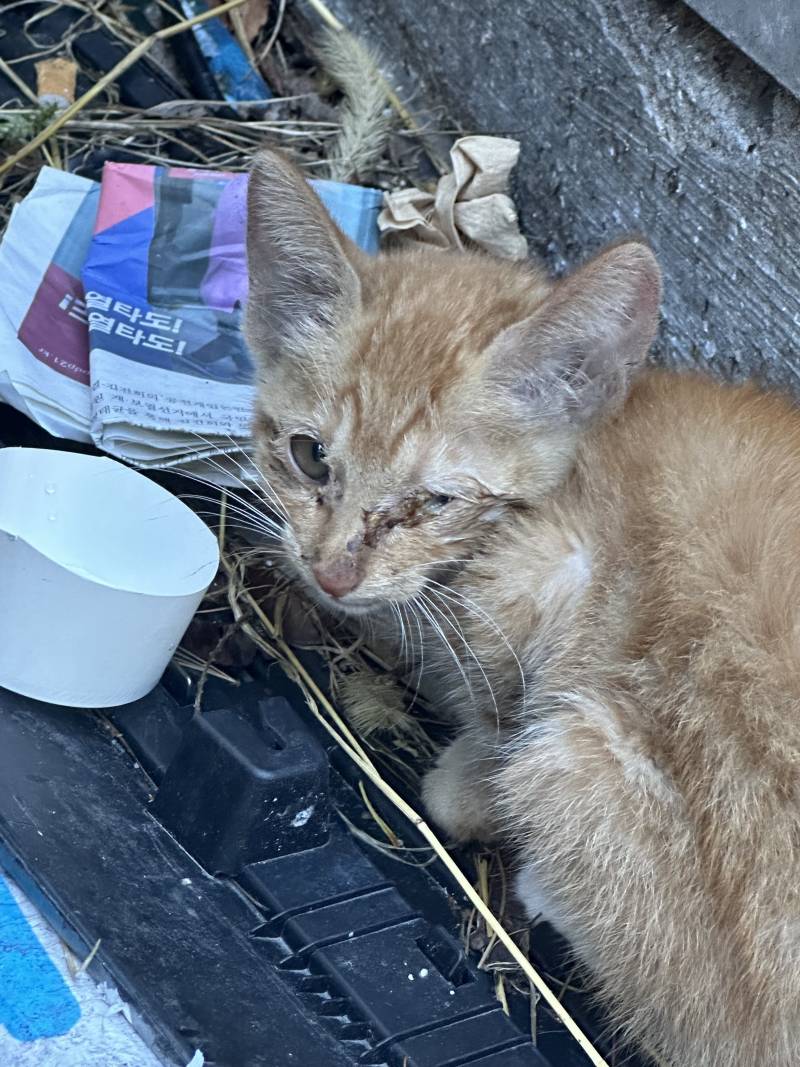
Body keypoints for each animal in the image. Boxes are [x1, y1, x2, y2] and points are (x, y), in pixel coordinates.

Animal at [243, 150, 800, 1067]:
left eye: (433, 501)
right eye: (309, 455)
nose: (330, 573)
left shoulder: (547, 596)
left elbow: (470, 771)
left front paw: (461, 776)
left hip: (571, 759)